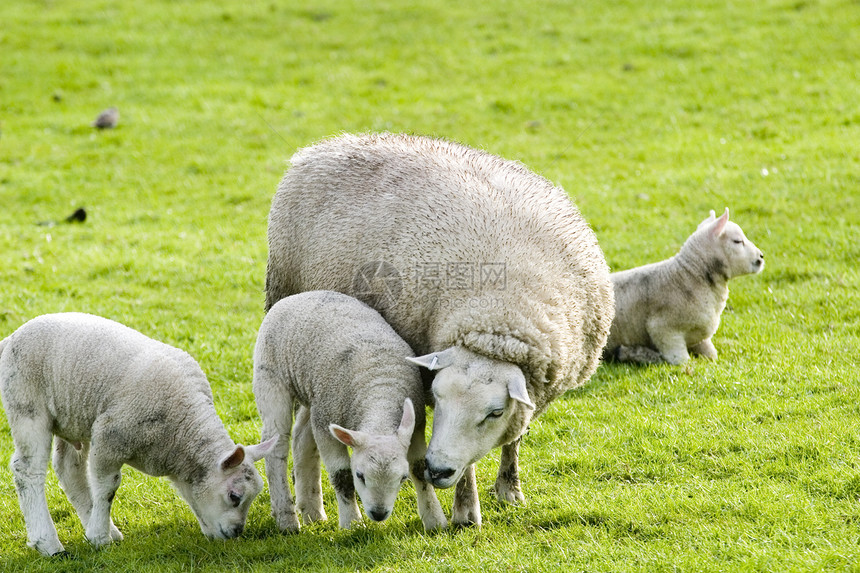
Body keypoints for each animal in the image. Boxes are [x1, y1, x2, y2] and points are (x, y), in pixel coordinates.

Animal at [0, 310, 276, 556]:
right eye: (234, 496)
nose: (237, 532)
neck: (182, 430)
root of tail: (11, 337)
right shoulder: (110, 435)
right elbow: (108, 487)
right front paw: (98, 538)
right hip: (28, 405)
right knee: (28, 470)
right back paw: (49, 544)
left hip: (72, 416)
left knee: (69, 469)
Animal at [252, 290, 446, 532]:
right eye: (359, 475)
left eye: (402, 478)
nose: (379, 514)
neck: (379, 394)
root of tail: (301, 295)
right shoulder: (326, 423)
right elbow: (341, 476)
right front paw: (352, 523)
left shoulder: (416, 427)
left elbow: (419, 470)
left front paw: (434, 519)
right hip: (271, 377)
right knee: (276, 446)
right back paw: (287, 519)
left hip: (312, 394)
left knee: (301, 439)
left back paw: (312, 512)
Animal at [266, 132, 616, 524]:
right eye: (437, 396)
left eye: (495, 412)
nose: (437, 470)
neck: (499, 319)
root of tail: (320, 147)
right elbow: (469, 464)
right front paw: (466, 511)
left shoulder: (533, 392)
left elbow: (513, 439)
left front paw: (509, 490)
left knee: (304, 432)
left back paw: (312, 508)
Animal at [604, 208, 764, 364]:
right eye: (737, 241)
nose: (761, 257)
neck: (688, 276)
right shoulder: (664, 330)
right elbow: (682, 361)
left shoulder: (701, 338)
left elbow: (712, 355)